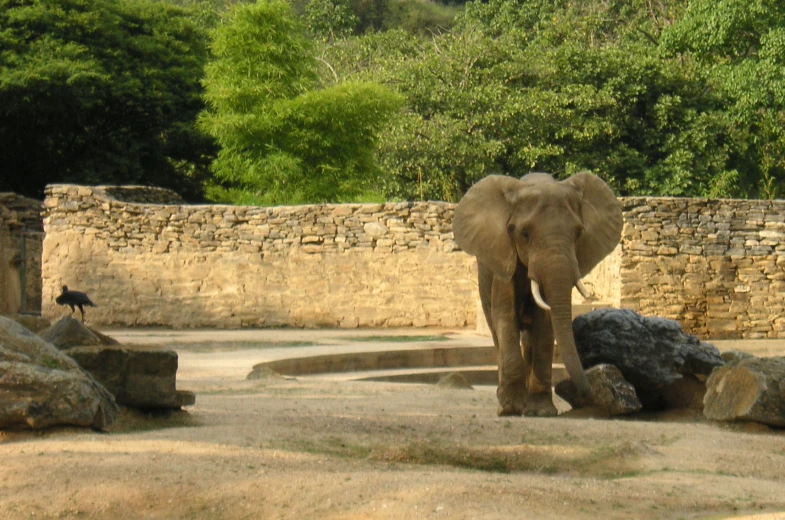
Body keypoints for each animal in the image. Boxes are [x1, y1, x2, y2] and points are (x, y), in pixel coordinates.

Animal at [450, 173, 620, 416]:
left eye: (579, 233)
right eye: (524, 233)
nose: (588, 393)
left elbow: (546, 324)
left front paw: (541, 412)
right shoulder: (504, 259)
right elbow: (505, 317)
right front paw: (510, 408)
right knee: (497, 334)